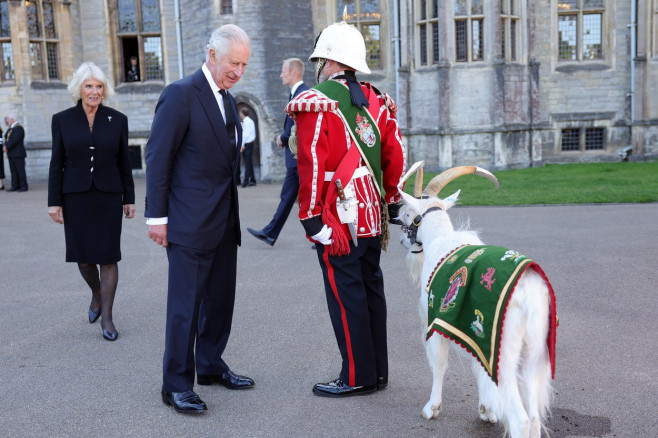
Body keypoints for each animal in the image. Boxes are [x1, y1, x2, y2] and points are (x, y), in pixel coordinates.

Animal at [398, 164, 556, 438]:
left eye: (408, 214)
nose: (402, 240)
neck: (440, 238)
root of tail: (528, 294)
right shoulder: (475, 332)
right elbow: (478, 365)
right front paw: (486, 410)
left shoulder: (436, 321)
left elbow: (439, 364)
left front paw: (432, 408)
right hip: (534, 349)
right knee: (535, 417)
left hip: (505, 351)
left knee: (521, 420)